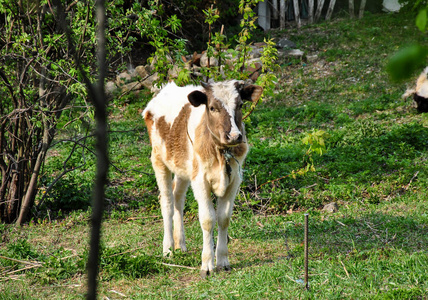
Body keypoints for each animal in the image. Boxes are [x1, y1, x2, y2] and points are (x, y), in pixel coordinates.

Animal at [142, 79, 262, 276]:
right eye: (212, 107)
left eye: (240, 105)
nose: (234, 136)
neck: (222, 153)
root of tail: (166, 88)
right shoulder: (200, 181)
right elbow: (207, 220)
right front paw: (207, 264)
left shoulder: (234, 180)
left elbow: (223, 218)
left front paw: (223, 260)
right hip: (159, 159)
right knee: (166, 201)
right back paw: (168, 249)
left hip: (183, 168)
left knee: (178, 197)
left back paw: (180, 245)